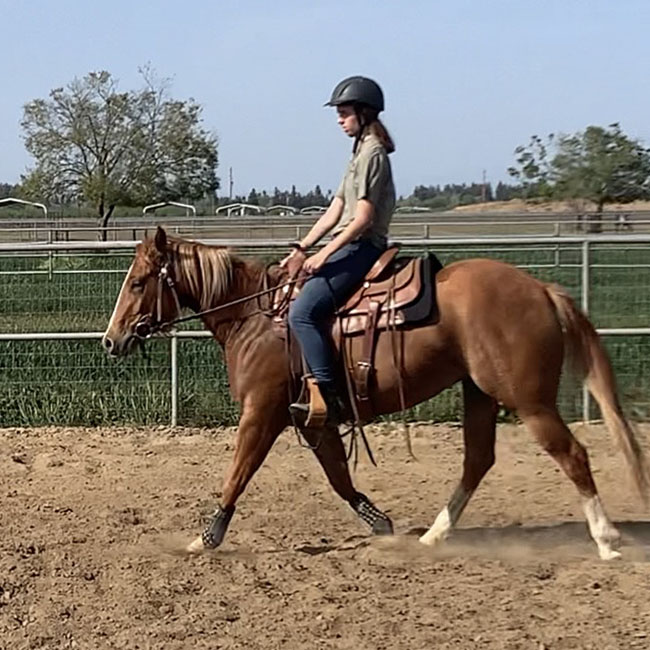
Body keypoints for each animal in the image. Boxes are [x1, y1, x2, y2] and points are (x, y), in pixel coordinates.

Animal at [102, 227, 648, 560]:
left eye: (139, 281)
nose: (110, 340)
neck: (257, 317)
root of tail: (540, 290)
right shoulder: (311, 419)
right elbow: (339, 477)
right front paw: (379, 521)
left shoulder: (263, 412)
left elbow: (238, 473)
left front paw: (207, 537)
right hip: (479, 394)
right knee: (478, 459)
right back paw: (434, 535)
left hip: (528, 400)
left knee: (572, 454)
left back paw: (606, 540)